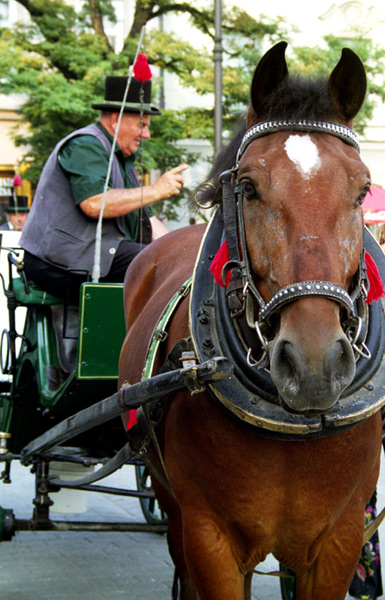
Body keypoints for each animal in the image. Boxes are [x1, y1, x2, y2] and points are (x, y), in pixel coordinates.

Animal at [118, 43, 382, 600]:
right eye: (249, 187)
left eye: (362, 190)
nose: (314, 365)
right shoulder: (208, 537)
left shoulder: (341, 540)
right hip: (172, 507)